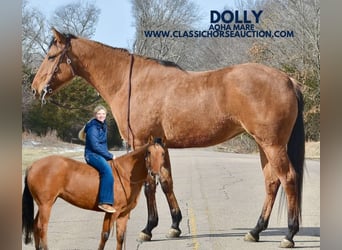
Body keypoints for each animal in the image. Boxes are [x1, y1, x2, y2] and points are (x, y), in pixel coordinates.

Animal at [21, 137, 166, 250]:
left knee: (35, 226)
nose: (155, 174)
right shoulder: (112, 212)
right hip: (46, 204)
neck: (126, 174)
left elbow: (120, 237)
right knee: (42, 228)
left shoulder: (123, 214)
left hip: (44, 204)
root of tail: (32, 166)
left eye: (163, 153)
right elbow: (105, 235)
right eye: (149, 152)